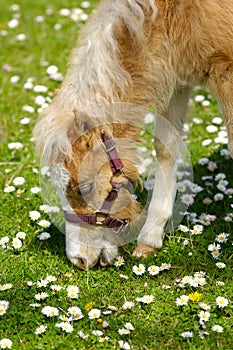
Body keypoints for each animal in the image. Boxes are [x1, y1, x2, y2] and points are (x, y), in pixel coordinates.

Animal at [33, 0, 233, 268]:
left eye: (84, 187)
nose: (78, 260)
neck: (174, 14)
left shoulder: (225, 72)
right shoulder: (173, 76)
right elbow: (165, 147)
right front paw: (150, 239)